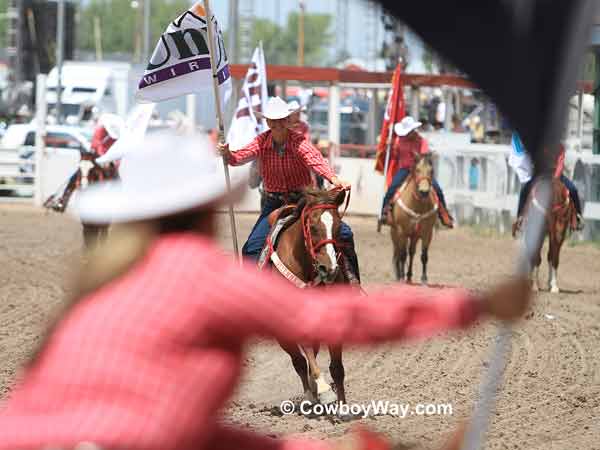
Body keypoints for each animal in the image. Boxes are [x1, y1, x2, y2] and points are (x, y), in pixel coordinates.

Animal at [264, 186, 350, 408]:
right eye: (312, 226)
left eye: (338, 226)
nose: (329, 269)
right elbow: (307, 357)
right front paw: (326, 392)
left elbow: (337, 367)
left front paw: (343, 406)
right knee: (300, 362)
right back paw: (311, 396)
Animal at [390, 153, 436, 284]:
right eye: (417, 170)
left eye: (431, 171)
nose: (424, 192)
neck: (417, 206)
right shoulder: (402, 231)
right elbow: (402, 254)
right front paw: (401, 276)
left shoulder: (427, 233)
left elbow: (424, 256)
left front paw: (424, 279)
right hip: (394, 232)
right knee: (399, 252)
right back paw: (399, 275)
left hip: (414, 236)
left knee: (411, 252)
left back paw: (409, 276)